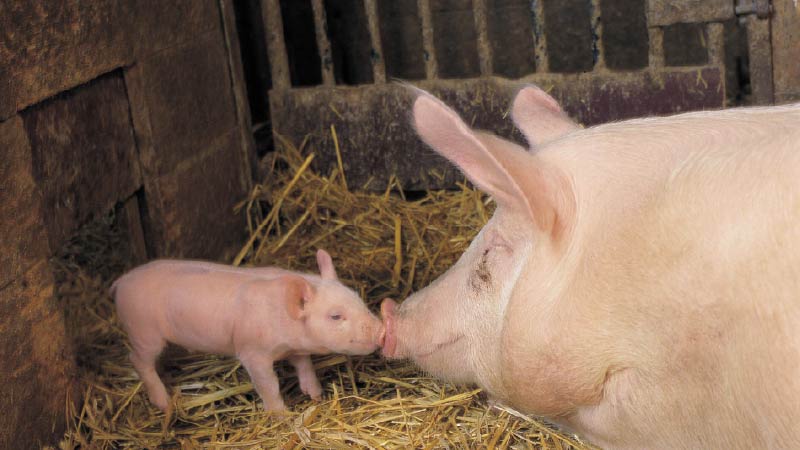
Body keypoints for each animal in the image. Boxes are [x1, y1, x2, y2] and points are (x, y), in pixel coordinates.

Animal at [112, 249, 382, 412]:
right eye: (335, 315)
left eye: (358, 298)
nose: (381, 330)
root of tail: (120, 282)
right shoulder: (252, 353)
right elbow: (268, 384)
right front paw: (283, 416)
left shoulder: (295, 349)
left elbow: (305, 366)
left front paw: (316, 396)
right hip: (143, 330)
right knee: (136, 360)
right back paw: (165, 404)